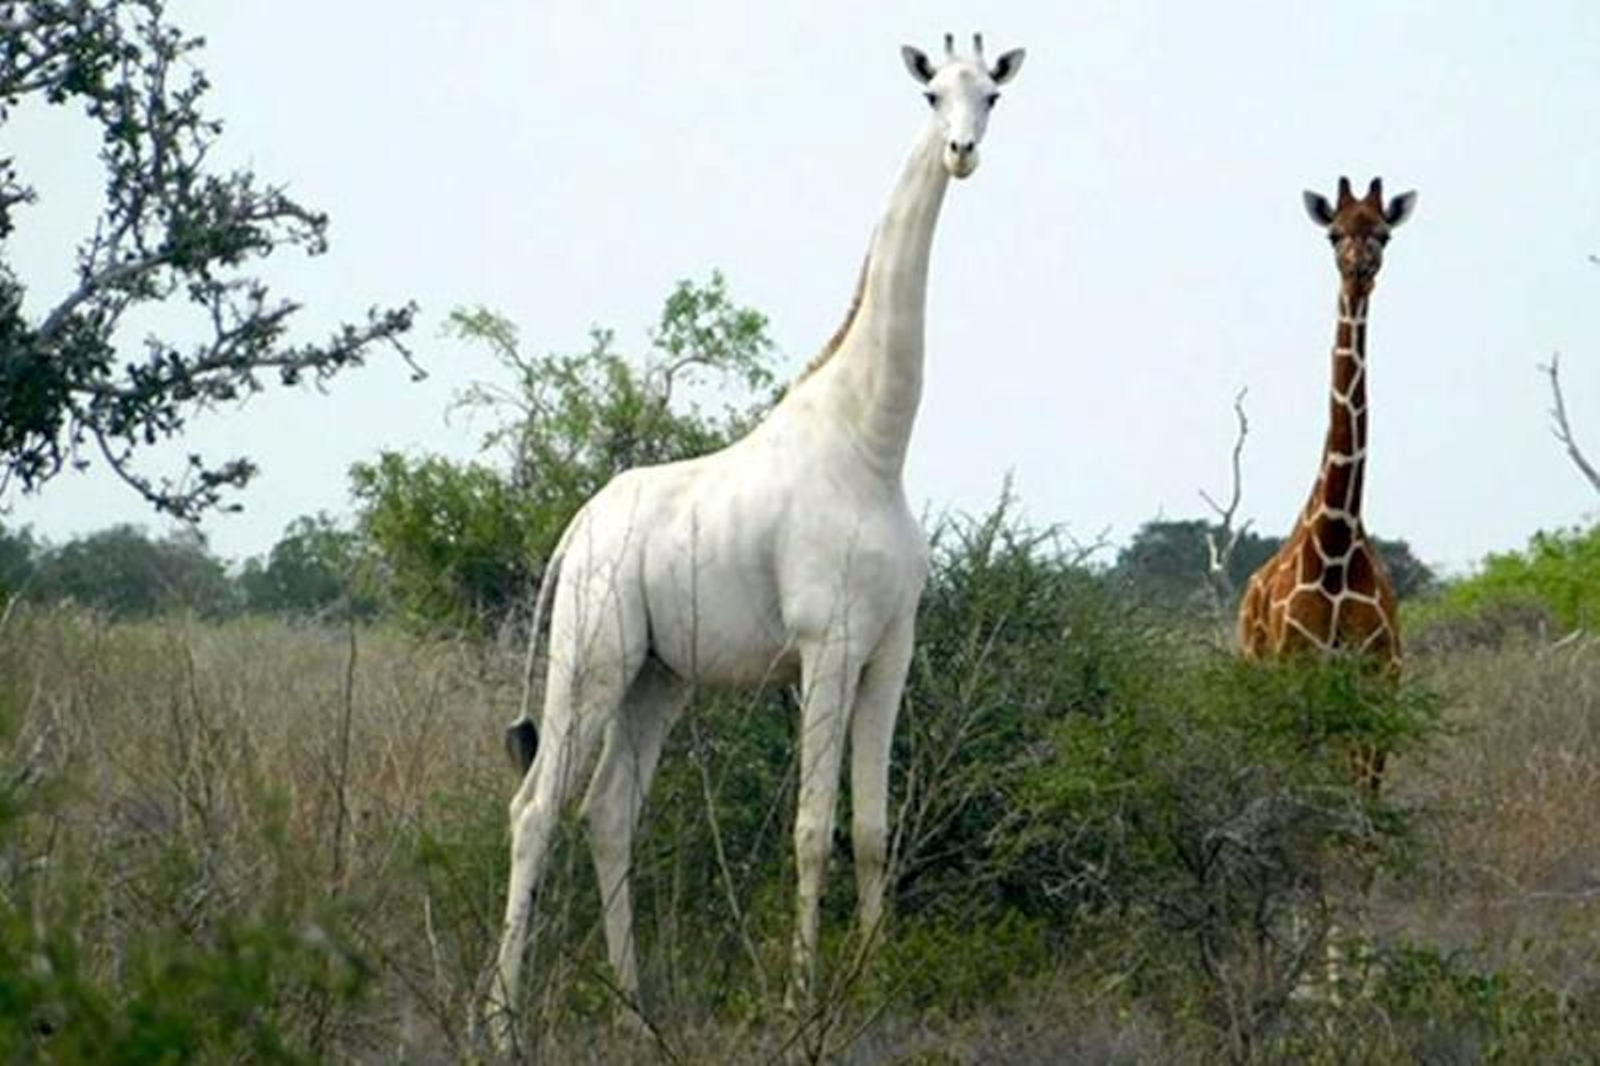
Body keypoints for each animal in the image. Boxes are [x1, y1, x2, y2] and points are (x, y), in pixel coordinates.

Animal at [486, 34, 1026, 1041]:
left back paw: (636, 1013)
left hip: (658, 677)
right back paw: (500, 1022)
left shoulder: (891, 649)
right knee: (535, 808)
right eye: (932, 93)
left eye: (993, 96)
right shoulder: (826, 645)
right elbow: (812, 829)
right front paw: (799, 1003)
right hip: (591, 656)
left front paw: (871, 991)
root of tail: (576, 530)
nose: (962, 152)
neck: (873, 443)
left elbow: (871, 830)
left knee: (609, 811)